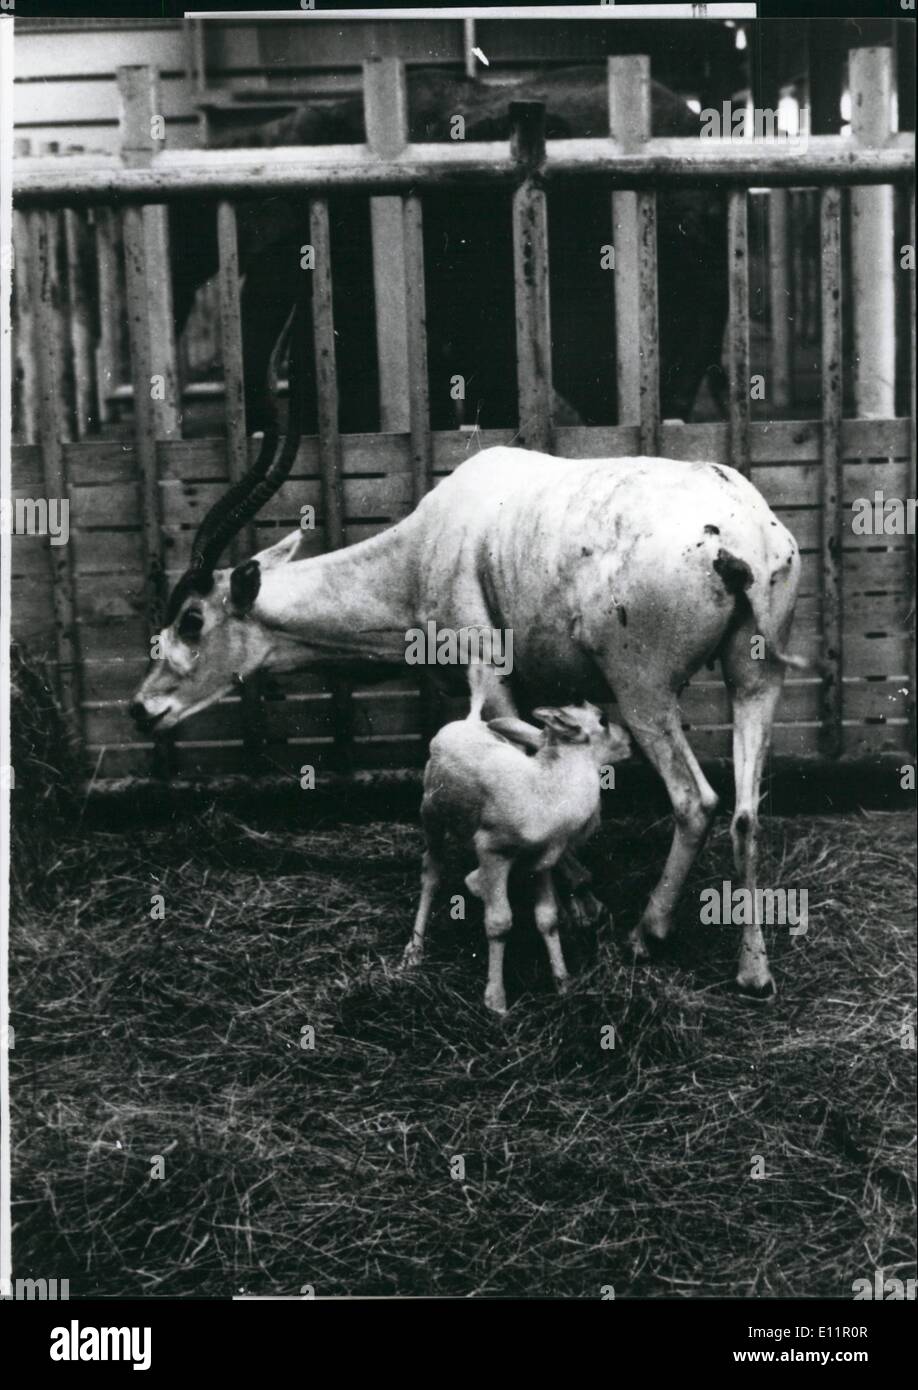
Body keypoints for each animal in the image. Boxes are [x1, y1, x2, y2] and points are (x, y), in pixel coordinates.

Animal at [400, 706, 631, 1011]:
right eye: (602, 719)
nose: (630, 739)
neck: (548, 790)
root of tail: (467, 720)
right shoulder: (492, 850)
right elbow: (500, 922)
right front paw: (496, 1000)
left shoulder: (542, 861)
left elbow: (548, 918)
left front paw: (563, 982)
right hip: (431, 813)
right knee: (431, 874)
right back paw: (414, 951)